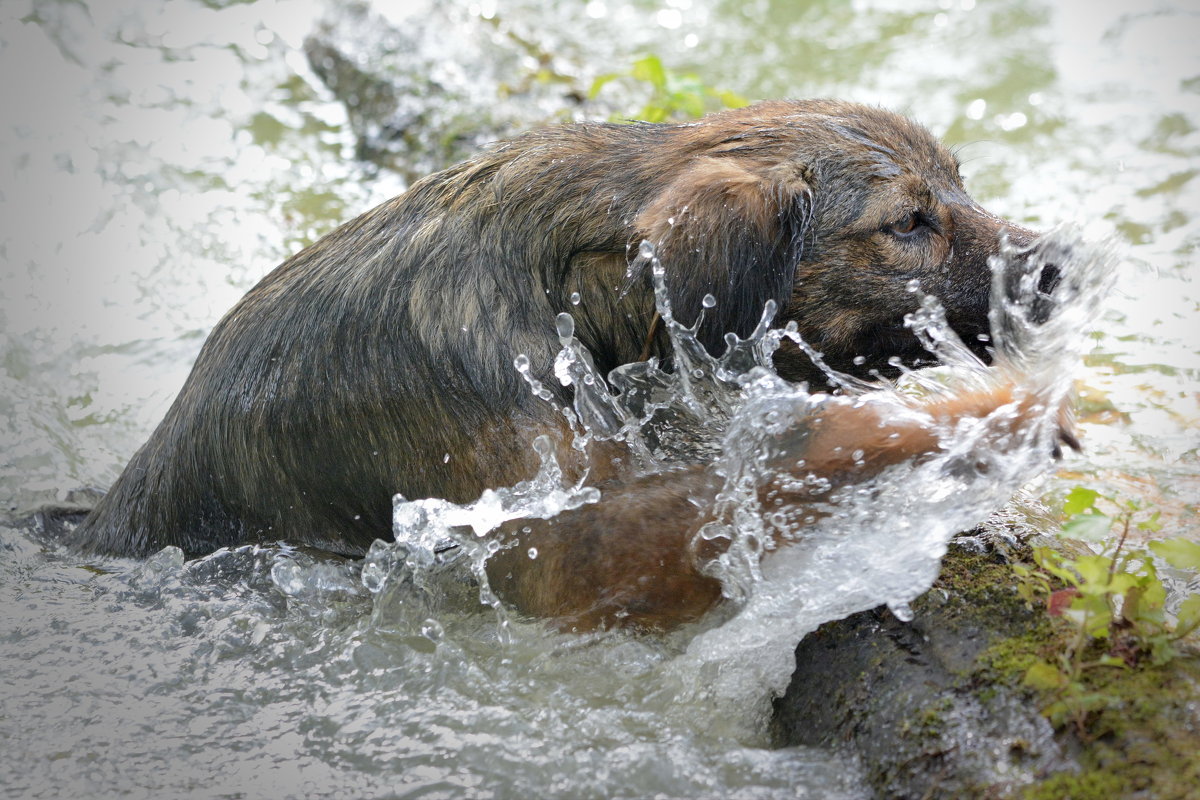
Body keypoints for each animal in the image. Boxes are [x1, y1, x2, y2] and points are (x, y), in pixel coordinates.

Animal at [70, 98, 1056, 623]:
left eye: (961, 186)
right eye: (909, 223)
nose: (1059, 262)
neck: (575, 292)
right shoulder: (549, 540)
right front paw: (969, 423)